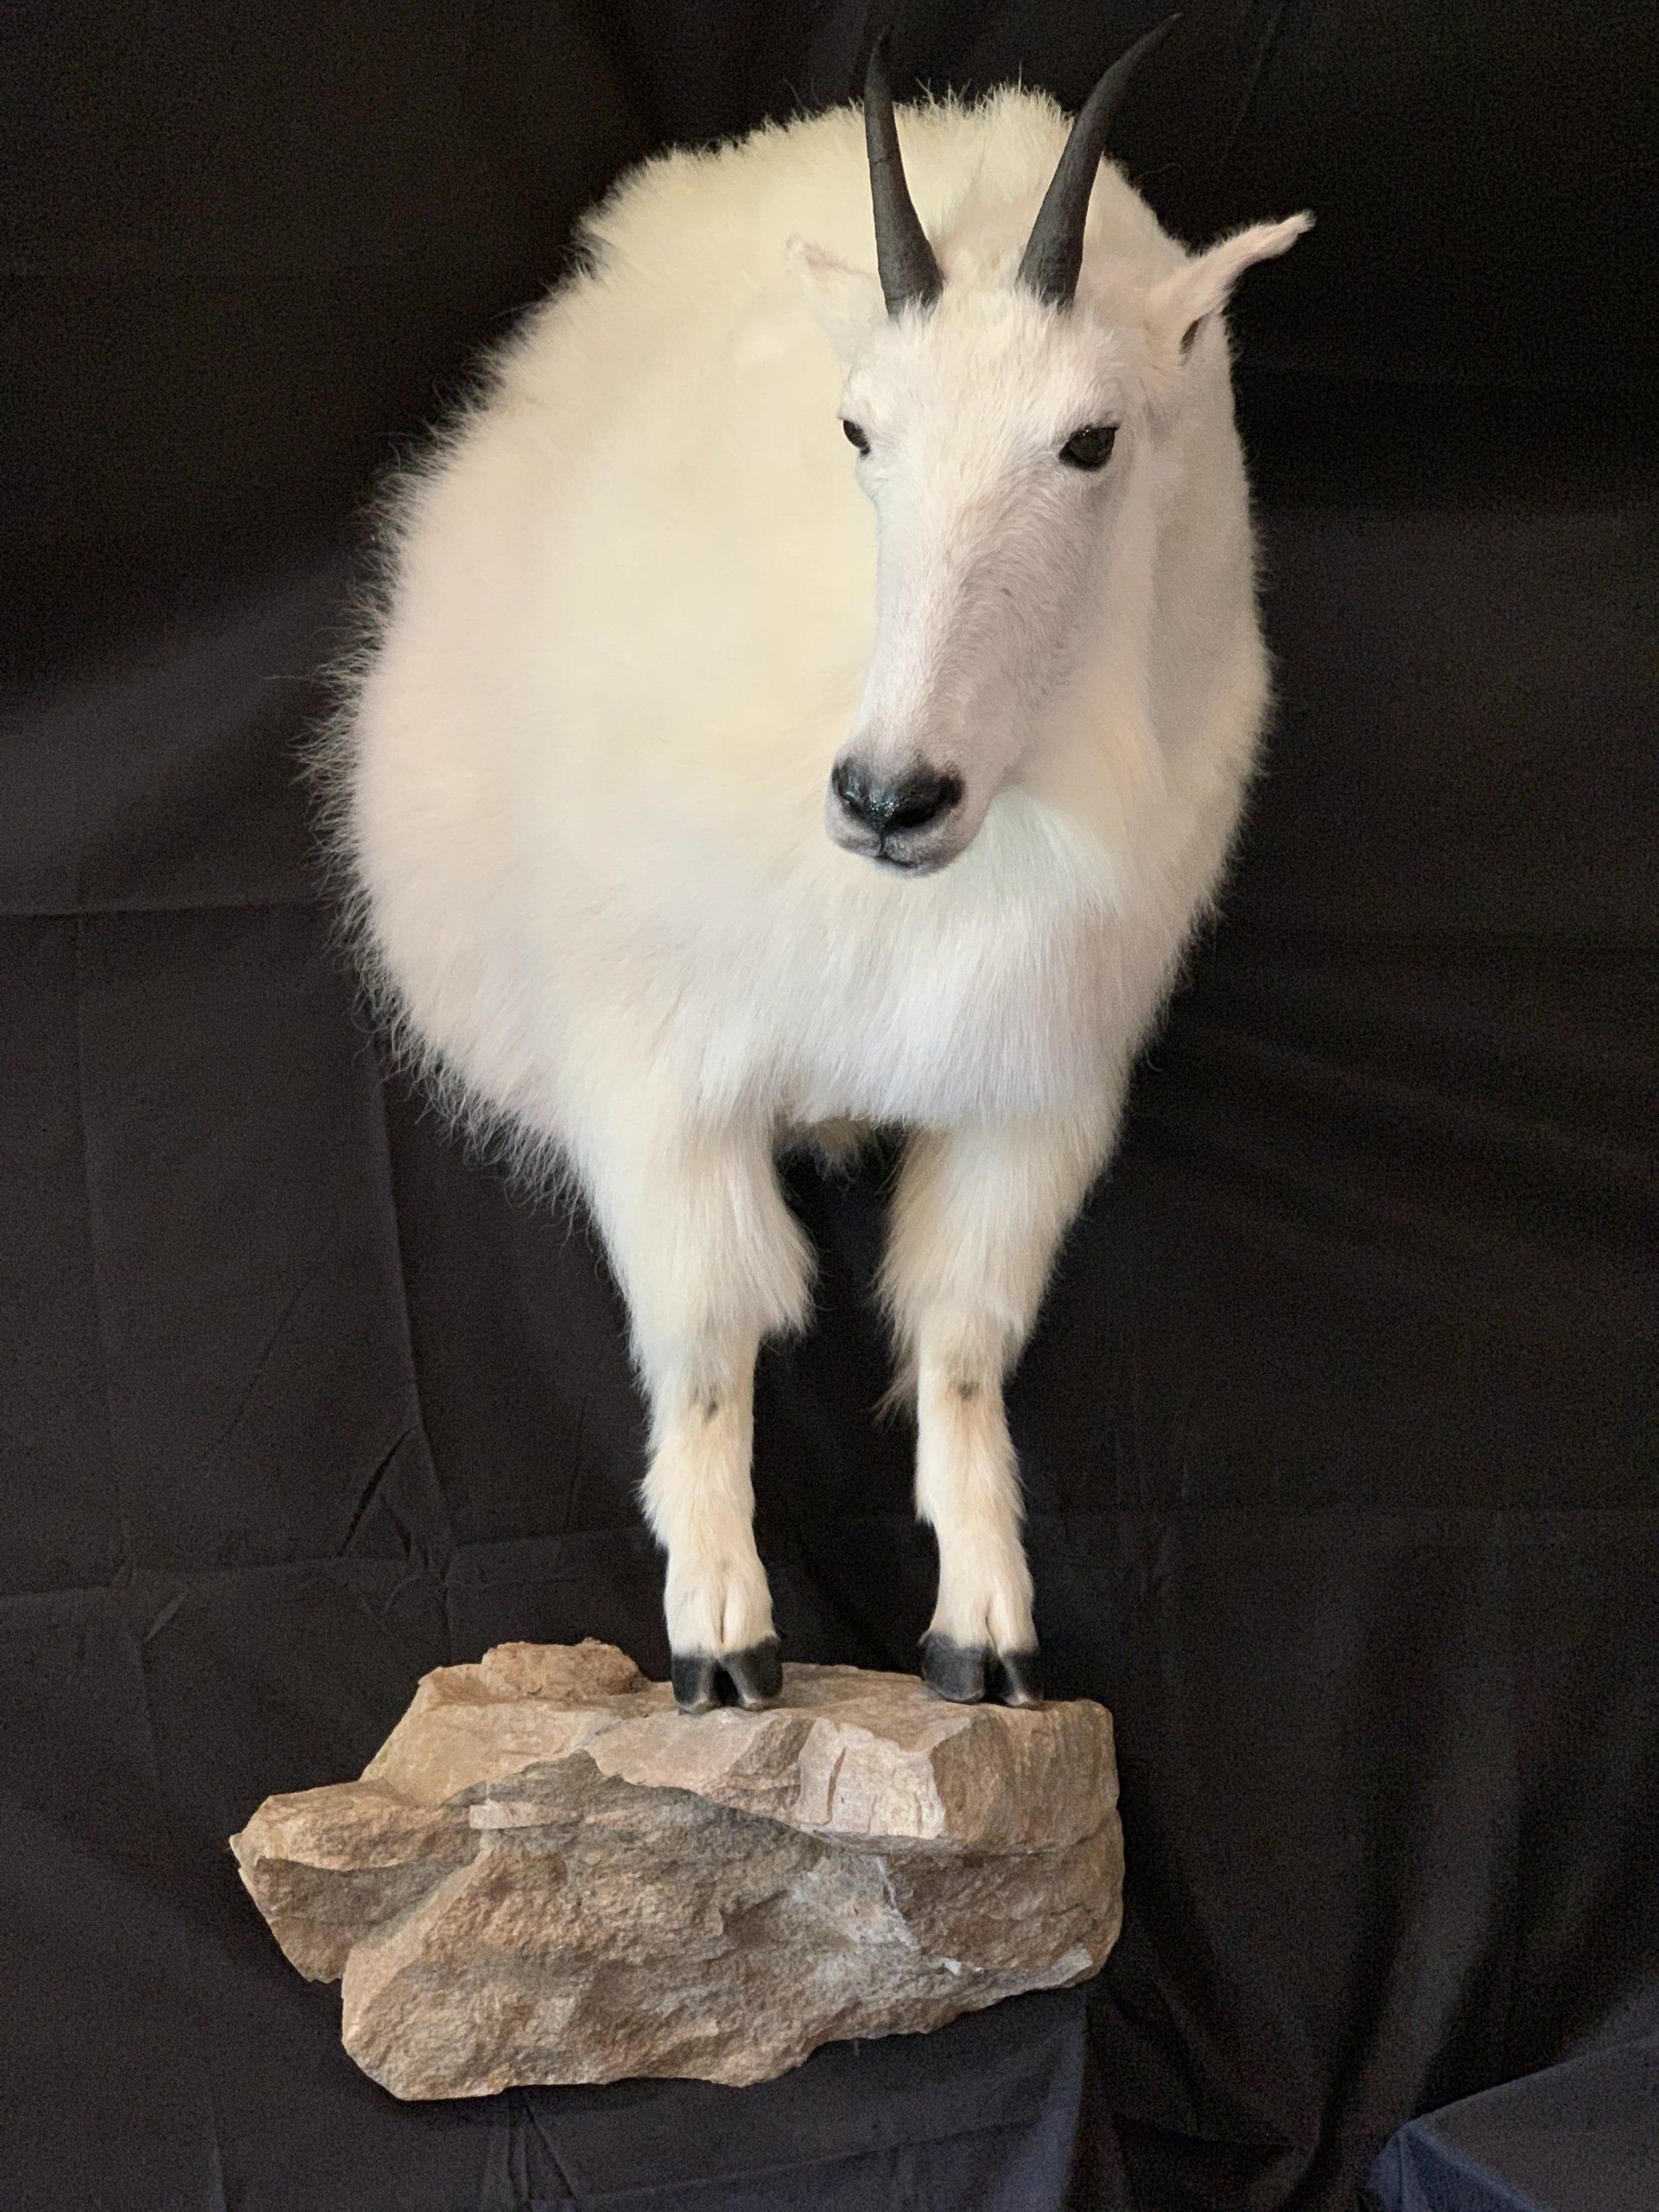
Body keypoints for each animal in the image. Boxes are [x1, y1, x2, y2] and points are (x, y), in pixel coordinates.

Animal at [331, 22, 1309, 1711]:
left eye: (1093, 438)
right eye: (859, 430)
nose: (887, 798)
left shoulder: (1029, 1091)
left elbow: (963, 1345)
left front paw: (986, 1637)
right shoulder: (663, 1081)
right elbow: (712, 1347)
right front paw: (722, 1646)